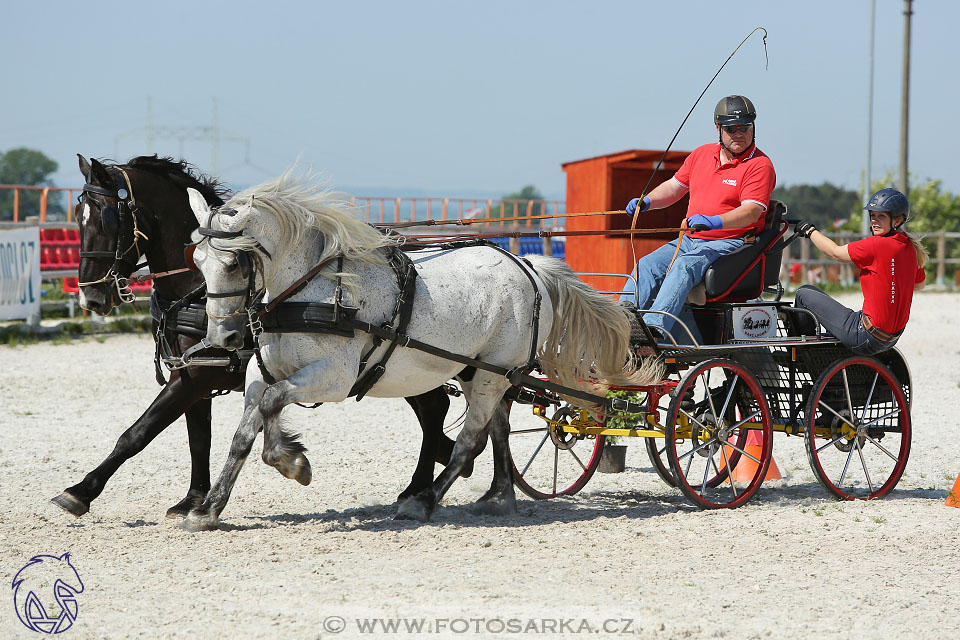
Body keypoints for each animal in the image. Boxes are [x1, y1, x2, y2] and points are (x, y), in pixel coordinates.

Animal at [51, 156, 458, 520]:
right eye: (78, 215)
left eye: (106, 217)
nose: (91, 297)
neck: (196, 290)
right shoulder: (193, 374)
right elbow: (198, 437)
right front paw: (195, 498)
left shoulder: (195, 376)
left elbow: (138, 432)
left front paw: (80, 491)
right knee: (434, 413)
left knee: (434, 412)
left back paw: (420, 487)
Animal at [180, 171, 660, 528]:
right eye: (196, 260)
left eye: (232, 262)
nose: (222, 339)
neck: (308, 290)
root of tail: (528, 266)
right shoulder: (262, 373)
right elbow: (246, 431)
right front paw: (210, 508)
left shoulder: (332, 378)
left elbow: (272, 407)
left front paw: (291, 462)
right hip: (485, 371)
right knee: (498, 429)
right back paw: (498, 496)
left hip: (492, 373)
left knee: (471, 438)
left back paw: (424, 501)